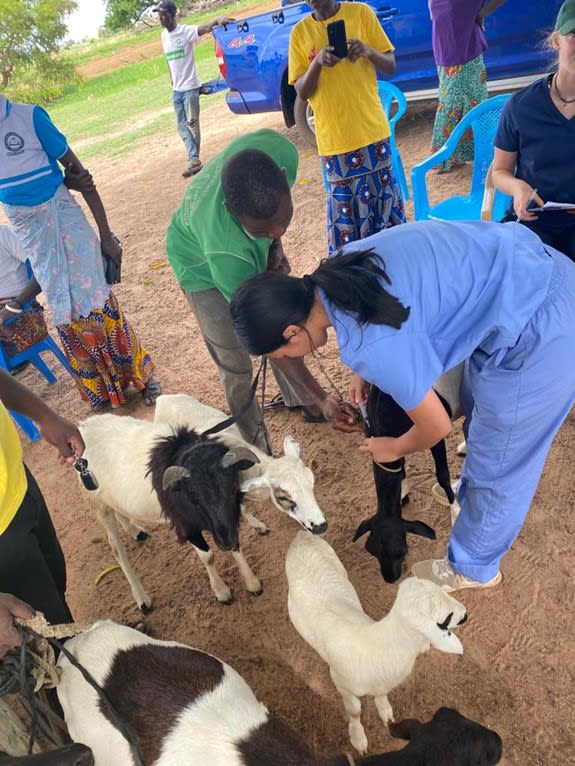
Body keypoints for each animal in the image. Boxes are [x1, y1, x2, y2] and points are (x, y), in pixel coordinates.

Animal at [153, 396, 328, 536]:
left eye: (312, 485)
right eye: (283, 497)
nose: (321, 526)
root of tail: (162, 398)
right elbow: (242, 509)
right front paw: (259, 526)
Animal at [286, 536, 470, 756]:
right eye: (446, 618)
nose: (466, 615)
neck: (378, 643)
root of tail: (301, 538)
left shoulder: (382, 681)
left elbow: (381, 694)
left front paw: (384, 709)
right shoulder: (341, 683)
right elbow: (354, 711)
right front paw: (358, 737)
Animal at [354, 388, 462, 584]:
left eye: (401, 552)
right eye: (371, 551)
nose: (390, 578)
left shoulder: (433, 433)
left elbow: (442, 474)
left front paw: (455, 508)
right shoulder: (393, 445)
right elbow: (400, 467)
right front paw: (403, 495)